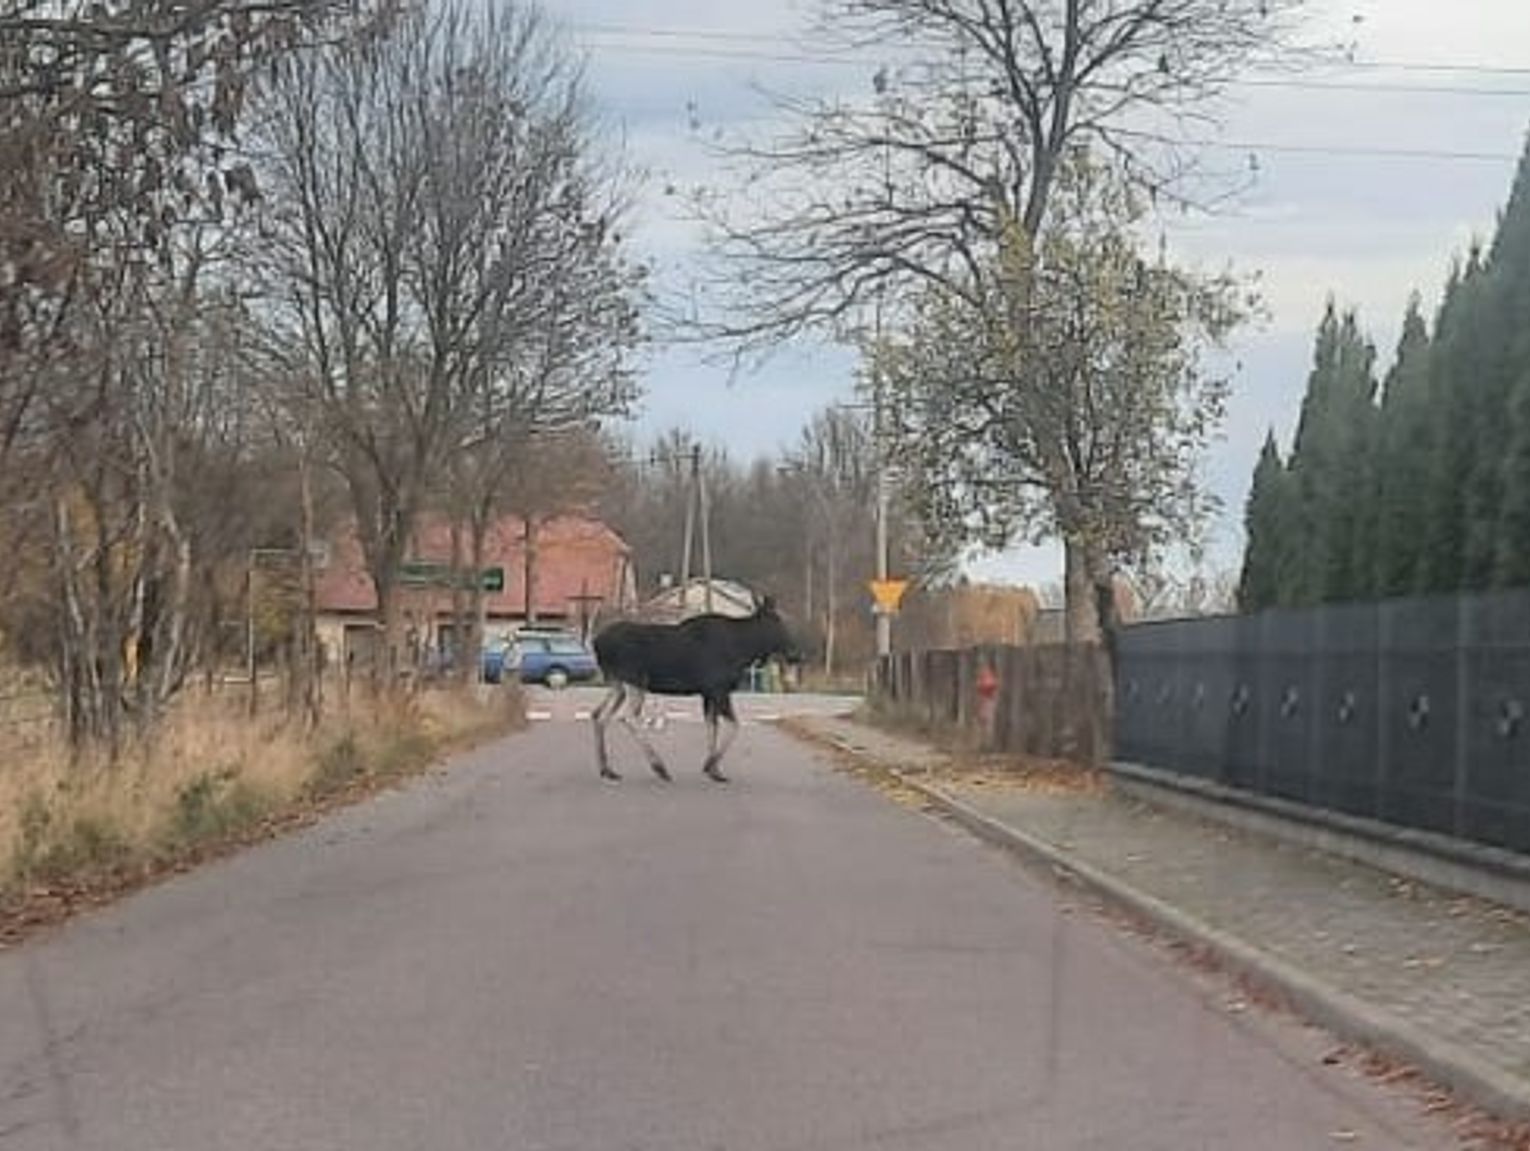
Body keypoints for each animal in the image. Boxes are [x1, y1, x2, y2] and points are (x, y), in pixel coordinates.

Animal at [587, 593, 801, 783]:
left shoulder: (708, 693)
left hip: (618, 684)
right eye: (778, 622)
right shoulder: (719, 689)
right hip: (635, 680)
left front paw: (715, 770)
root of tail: (596, 642)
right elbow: (733, 725)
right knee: (627, 717)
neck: (744, 650)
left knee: (598, 714)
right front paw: (710, 765)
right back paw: (659, 767)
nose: (795, 654)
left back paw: (607, 769)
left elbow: (712, 726)